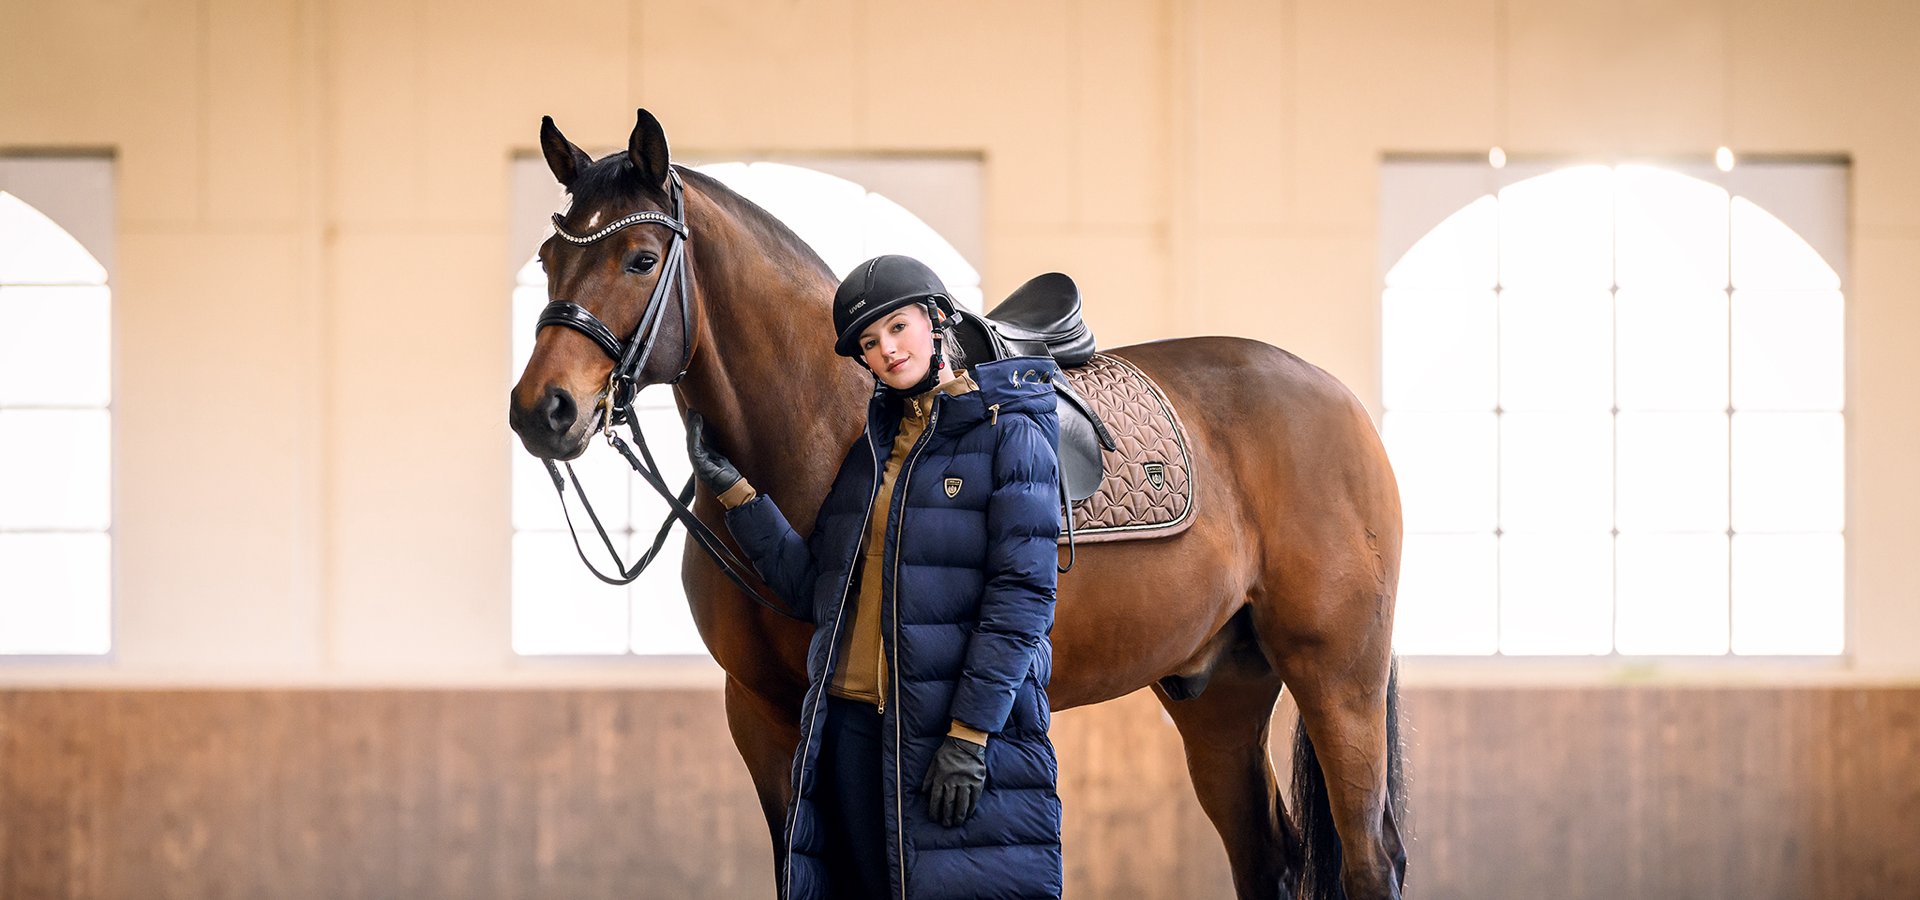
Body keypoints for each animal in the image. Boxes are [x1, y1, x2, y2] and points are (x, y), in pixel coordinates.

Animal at [508, 108, 1408, 900]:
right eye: (550, 254)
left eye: (640, 257)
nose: (541, 410)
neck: (829, 426)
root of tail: (1339, 401)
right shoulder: (761, 713)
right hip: (1220, 693)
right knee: (1271, 858)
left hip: (1338, 677)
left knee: (1368, 862)